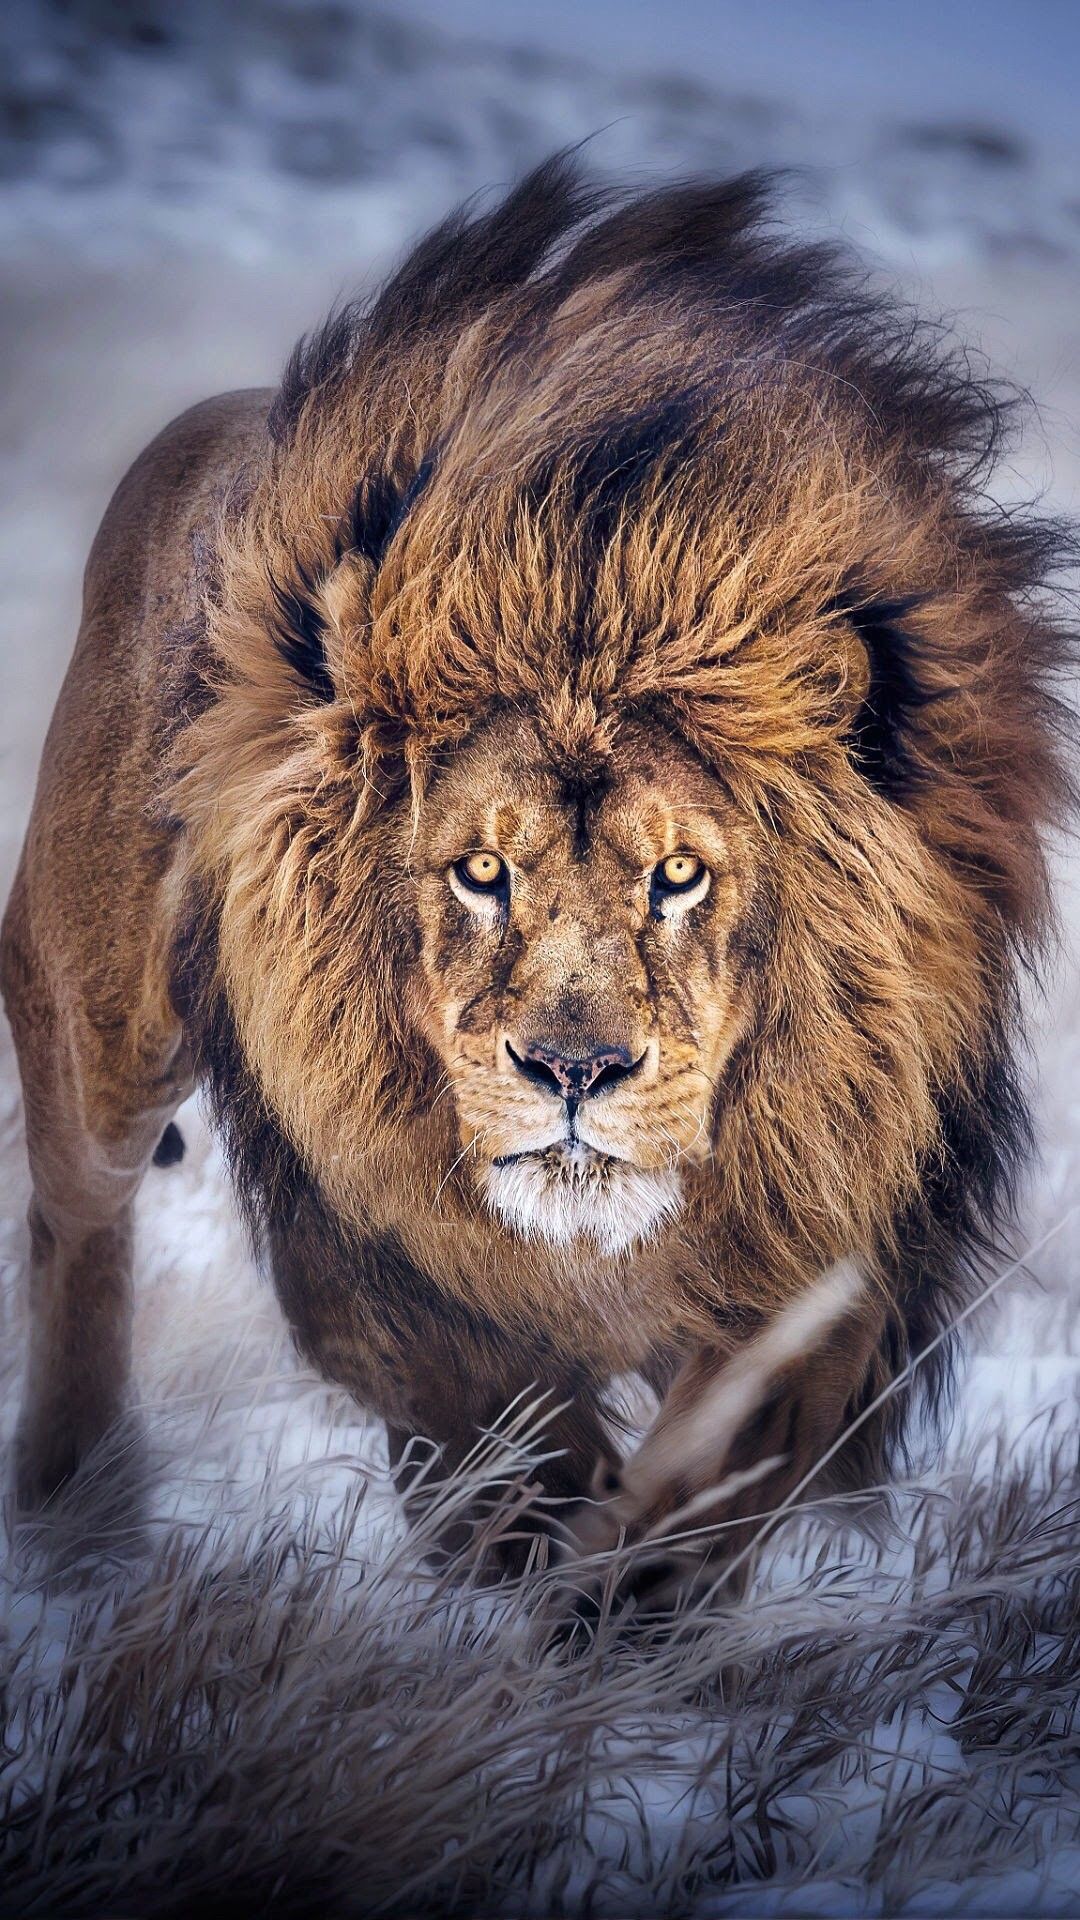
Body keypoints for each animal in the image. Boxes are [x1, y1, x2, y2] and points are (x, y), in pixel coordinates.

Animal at [2, 157, 1074, 1597]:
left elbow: (700, 1490)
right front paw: (527, 1577)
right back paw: (79, 1517)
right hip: (99, 1026)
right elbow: (505, 1446)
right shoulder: (378, 1248)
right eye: (478, 870)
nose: (575, 1071)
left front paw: (612, 1609)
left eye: (679, 873)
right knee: (77, 1224)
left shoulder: (829, 1237)